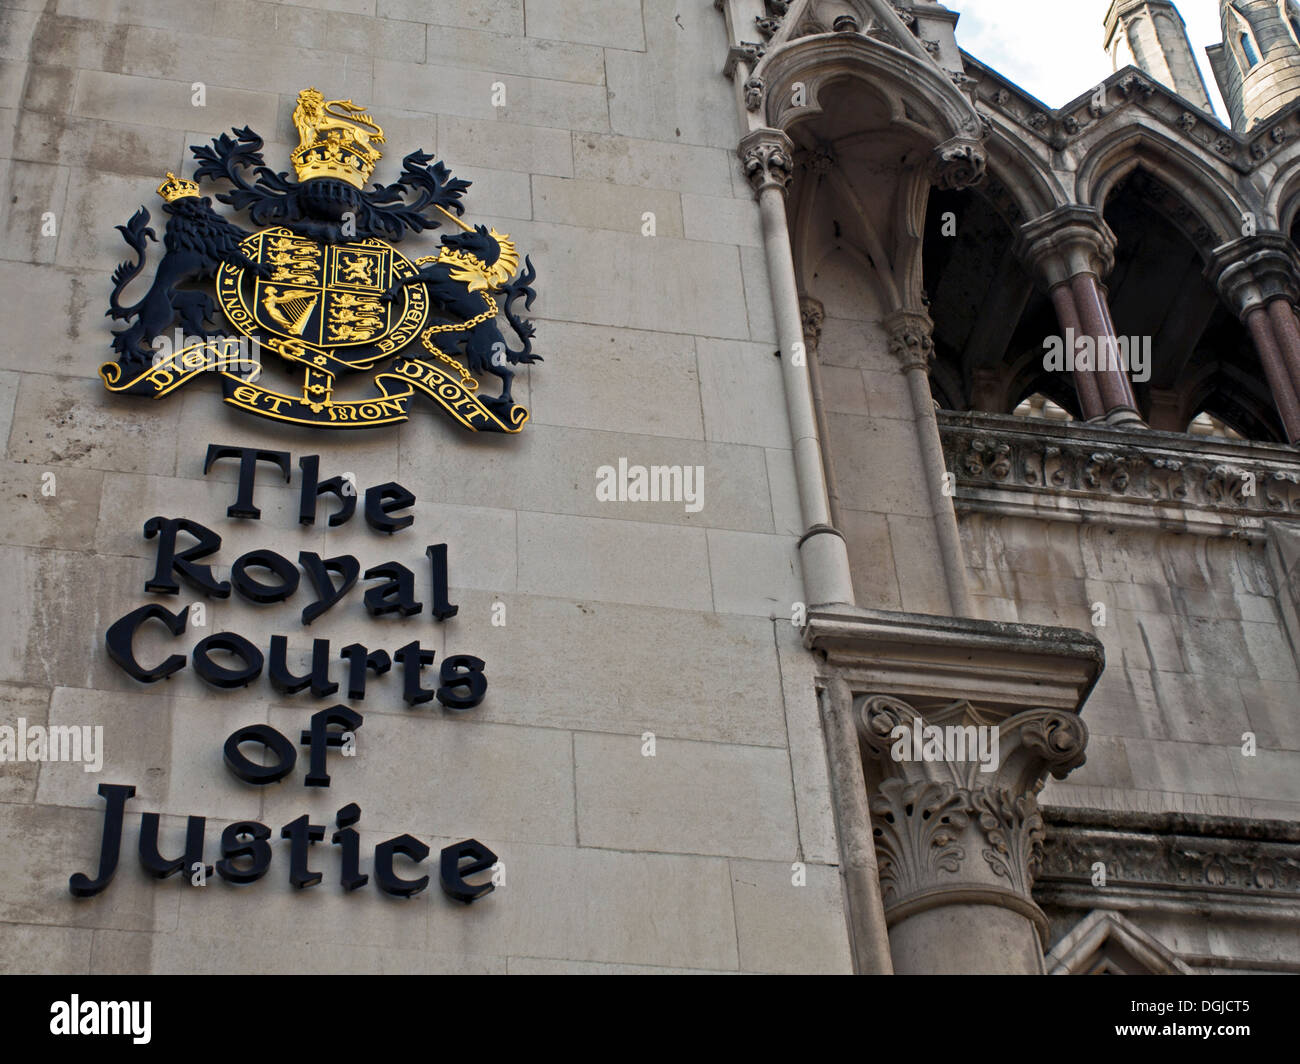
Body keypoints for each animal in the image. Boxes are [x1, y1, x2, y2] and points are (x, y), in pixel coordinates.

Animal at [105, 196, 261, 366]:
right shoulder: (220, 250)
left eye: (196, 203)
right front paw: (262, 267)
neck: (201, 225)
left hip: (192, 300)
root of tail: (145, 299)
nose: (193, 211)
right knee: (139, 331)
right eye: (181, 206)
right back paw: (140, 356)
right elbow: (241, 257)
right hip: (161, 313)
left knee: (189, 323)